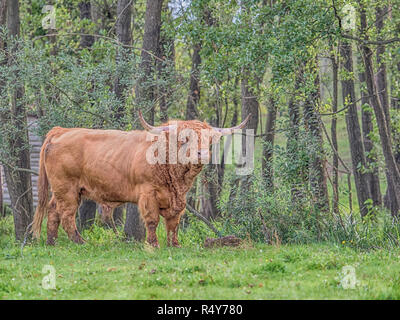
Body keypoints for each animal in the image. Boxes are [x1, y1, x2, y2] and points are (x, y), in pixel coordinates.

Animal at [32, 110, 250, 248]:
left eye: (209, 139)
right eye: (184, 139)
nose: (202, 154)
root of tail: (61, 131)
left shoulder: (179, 199)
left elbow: (174, 223)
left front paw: (175, 244)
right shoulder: (148, 193)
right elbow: (152, 220)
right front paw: (153, 244)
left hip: (61, 190)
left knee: (53, 210)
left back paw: (52, 242)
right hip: (67, 189)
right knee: (67, 215)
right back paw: (81, 242)